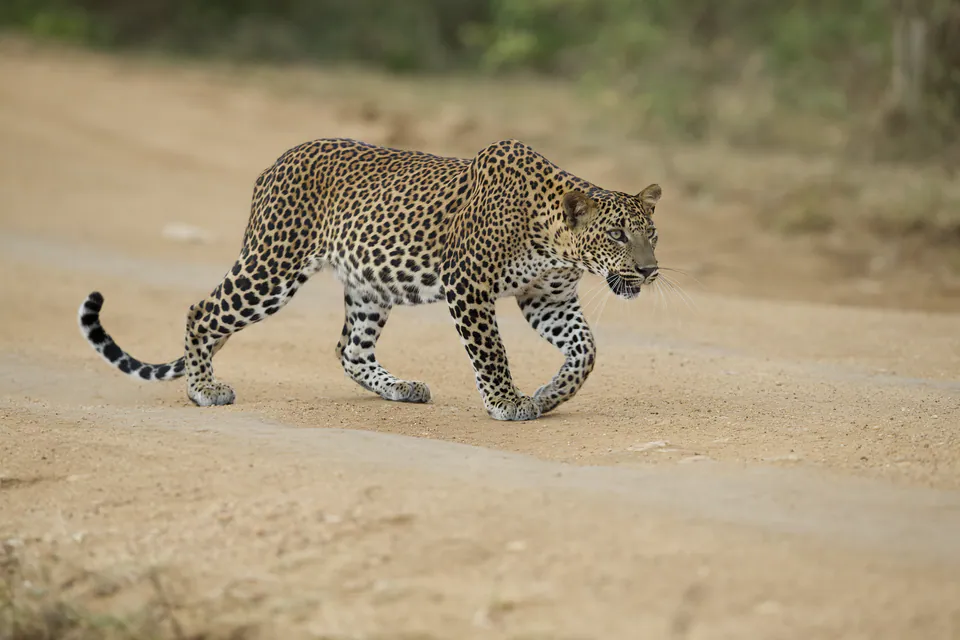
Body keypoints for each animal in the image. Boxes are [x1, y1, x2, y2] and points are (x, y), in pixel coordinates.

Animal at [77, 138, 662, 421]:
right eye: (617, 235)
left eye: (652, 235)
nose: (650, 270)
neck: (554, 241)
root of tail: (274, 164)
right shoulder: (468, 285)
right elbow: (492, 351)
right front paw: (507, 401)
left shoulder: (549, 299)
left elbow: (585, 352)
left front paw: (549, 394)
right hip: (272, 266)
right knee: (203, 312)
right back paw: (204, 389)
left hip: (368, 286)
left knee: (349, 349)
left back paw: (401, 387)